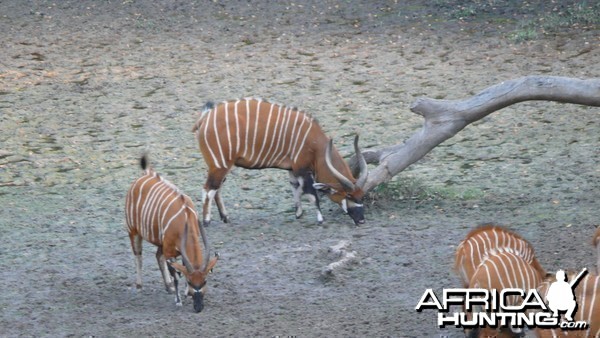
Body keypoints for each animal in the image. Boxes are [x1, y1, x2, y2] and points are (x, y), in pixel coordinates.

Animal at [125, 156, 219, 312]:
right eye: (190, 281)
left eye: (204, 281)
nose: (198, 307)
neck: (185, 218)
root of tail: (146, 174)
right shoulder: (169, 251)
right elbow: (175, 275)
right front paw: (178, 300)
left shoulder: (175, 250)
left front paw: (185, 293)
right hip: (133, 231)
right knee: (138, 256)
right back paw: (139, 286)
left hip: (160, 242)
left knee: (157, 256)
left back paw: (168, 287)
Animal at [192, 96, 370, 226]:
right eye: (349, 195)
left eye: (361, 196)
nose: (361, 220)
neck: (316, 143)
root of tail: (205, 118)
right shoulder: (301, 169)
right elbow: (312, 194)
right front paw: (320, 219)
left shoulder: (292, 170)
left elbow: (296, 188)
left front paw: (299, 214)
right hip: (220, 165)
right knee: (208, 189)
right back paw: (206, 221)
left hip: (222, 167)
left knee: (216, 189)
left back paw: (225, 217)